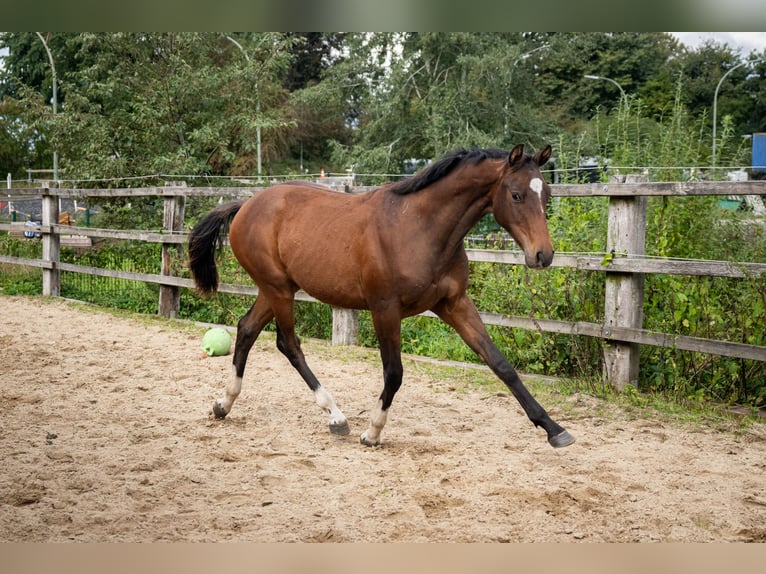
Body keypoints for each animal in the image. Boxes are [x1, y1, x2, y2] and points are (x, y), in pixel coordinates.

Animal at [188, 144, 575, 449]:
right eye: (516, 195)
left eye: (547, 195)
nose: (543, 255)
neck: (419, 227)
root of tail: (246, 204)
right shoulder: (385, 310)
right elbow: (394, 372)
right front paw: (372, 433)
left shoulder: (453, 304)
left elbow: (500, 363)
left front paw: (554, 429)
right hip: (278, 289)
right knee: (289, 344)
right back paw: (336, 417)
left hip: (276, 289)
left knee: (247, 329)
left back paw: (223, 405)